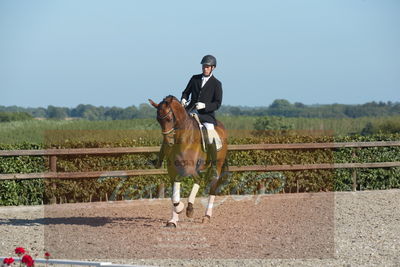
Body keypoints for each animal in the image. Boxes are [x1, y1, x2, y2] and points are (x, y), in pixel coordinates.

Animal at [148, 95, 228, 227]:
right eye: (158, 120)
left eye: (169, 118)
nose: (169, 142)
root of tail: (221, 126)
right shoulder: (172, 170)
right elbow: (174, 194)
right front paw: (174, 218)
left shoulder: (188, 169)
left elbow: (188, 182)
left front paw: (185, 209)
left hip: (217, 165)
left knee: (211, 184)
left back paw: (206, 216)